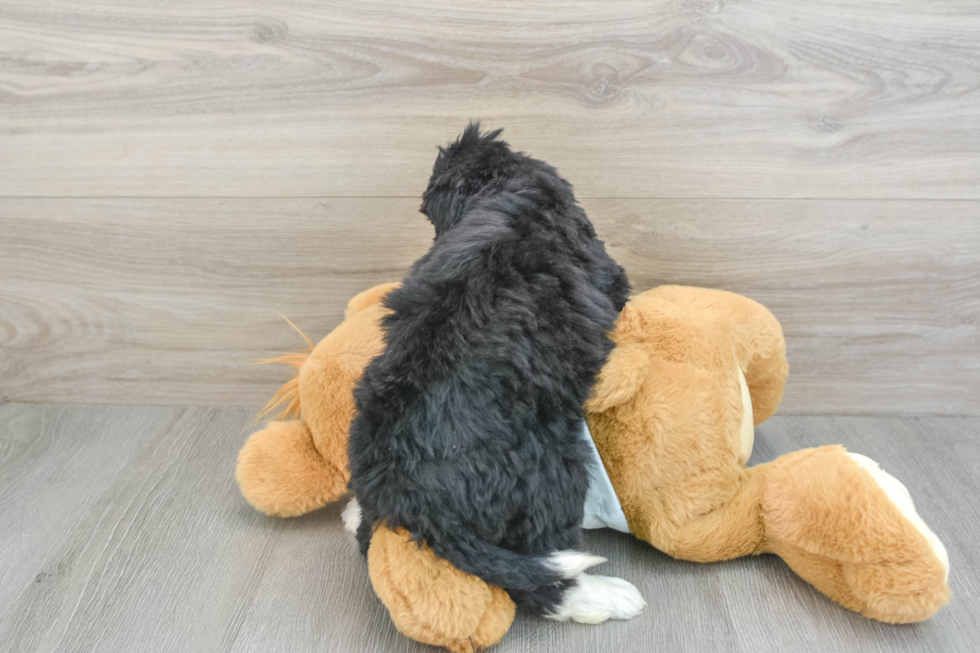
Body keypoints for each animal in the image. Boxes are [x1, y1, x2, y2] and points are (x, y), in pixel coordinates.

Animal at [344, 123, 644, 620]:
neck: (510, 190)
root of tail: (404, 489)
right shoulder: (612, 275)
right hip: (556, 468)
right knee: (536, 580)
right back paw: (604, 596)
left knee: (370, 540)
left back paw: (353, 515)